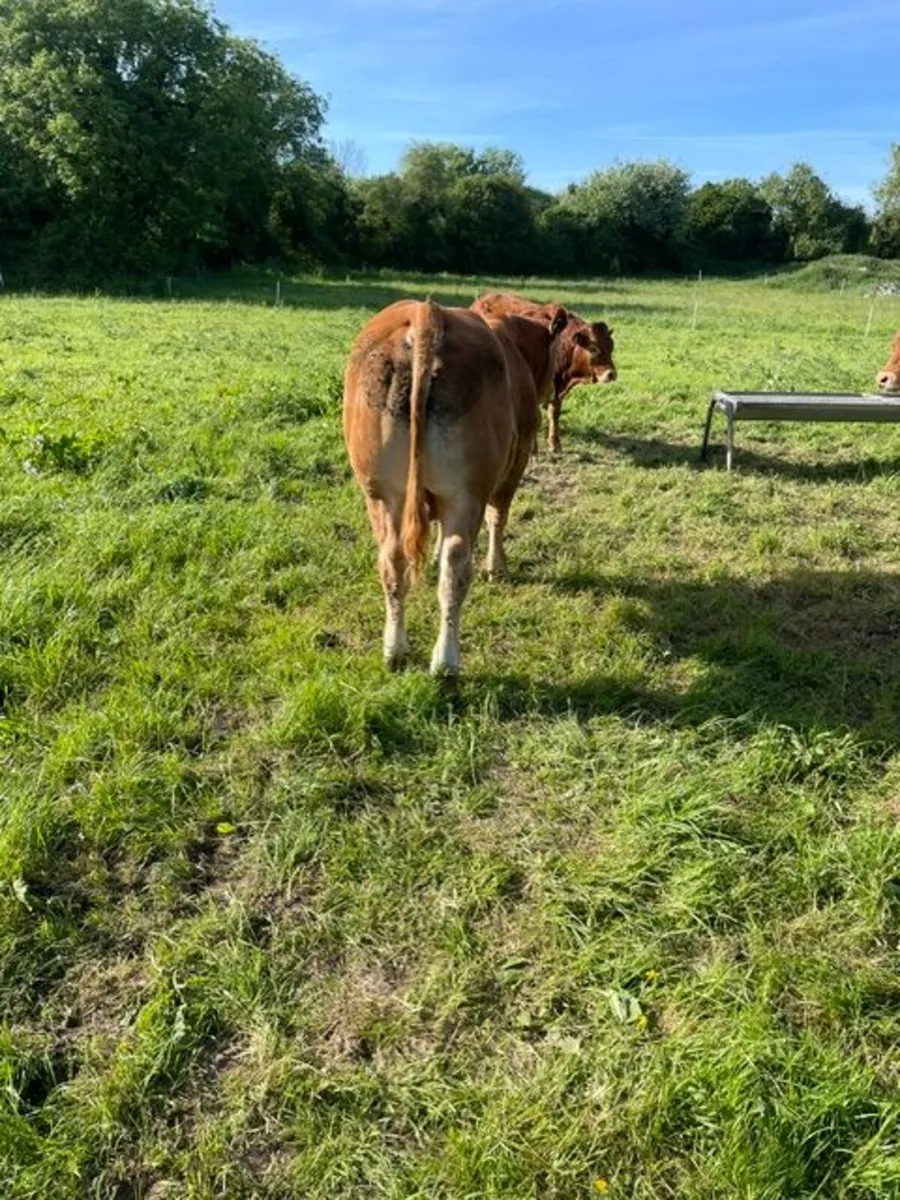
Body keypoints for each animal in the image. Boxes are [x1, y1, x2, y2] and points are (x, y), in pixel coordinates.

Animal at [343, 298, 565, 675]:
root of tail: (425, 313)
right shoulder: (515, 462)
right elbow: (499, 516)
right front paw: (497, 567)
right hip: (466, 494)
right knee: (456, 567)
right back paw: (446, 660)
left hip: (382, 493)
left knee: (392, 559)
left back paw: (395, 649)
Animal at [472, 292, 616, 454]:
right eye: (593, 348)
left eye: (611, 347)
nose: (611, 374)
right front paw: (534, 447)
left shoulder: (557, 389)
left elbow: (554, 412)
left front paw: (555, 443)